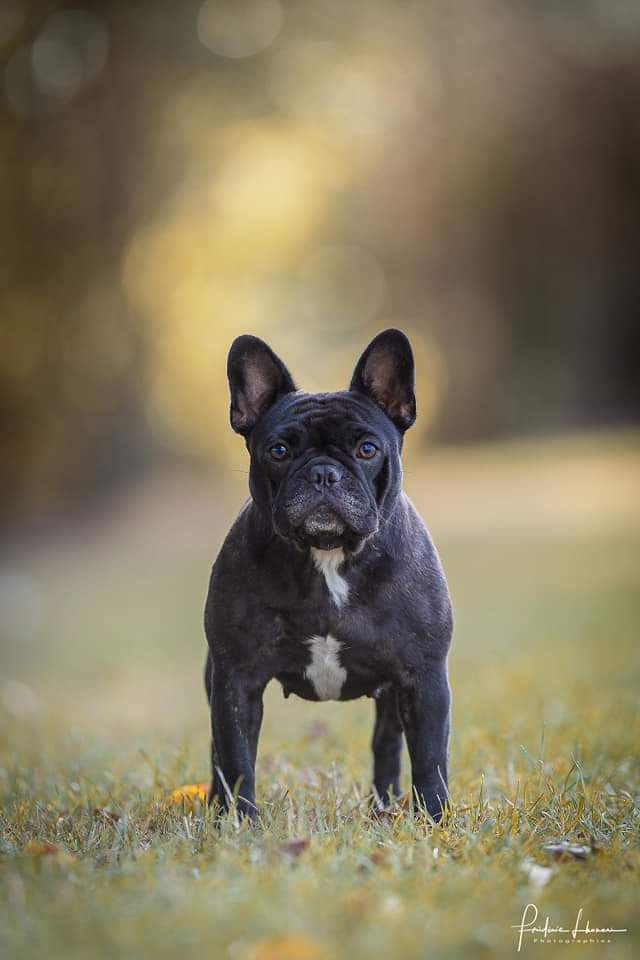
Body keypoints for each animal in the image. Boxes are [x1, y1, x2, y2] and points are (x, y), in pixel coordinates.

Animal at [204, 330, 450, 816]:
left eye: (367, 449)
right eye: (279, 451)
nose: (322, 473)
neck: (328, 556)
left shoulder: (424, 678)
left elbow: (430, 758)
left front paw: (435, 819)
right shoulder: (235, 678)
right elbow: (236, 757)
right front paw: (239, 820)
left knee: (387, 743)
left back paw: (385, 807)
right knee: (216, 752)